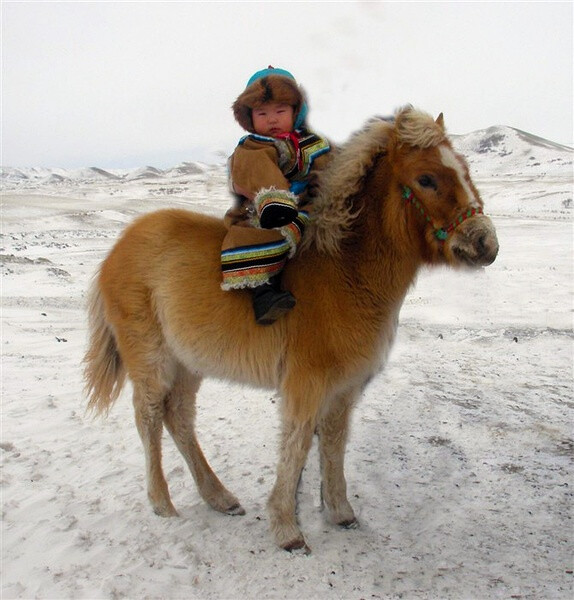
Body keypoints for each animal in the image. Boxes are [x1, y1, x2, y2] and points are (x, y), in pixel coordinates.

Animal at [84, 106, 500, 552]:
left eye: (464, 169)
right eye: (426, 179)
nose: (486, 243)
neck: (345, 272)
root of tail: (119, 248)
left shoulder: (343, 389)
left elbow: (333, 443)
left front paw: (340, 512)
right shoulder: (305, 384)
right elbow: (297, 444)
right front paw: (286, 527)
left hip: (188, 364)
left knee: (178, 418)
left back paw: (219, 498)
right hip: (151, 360)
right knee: (148, 418)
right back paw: (162, 503)